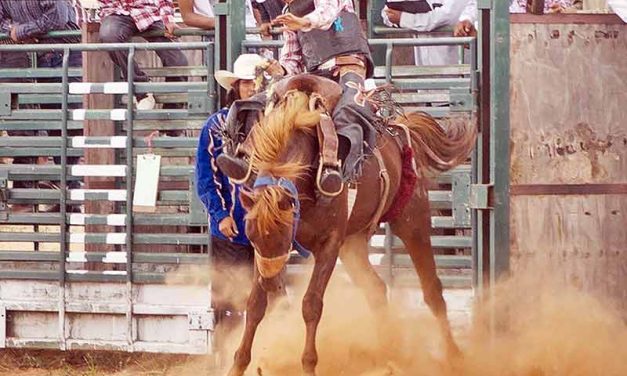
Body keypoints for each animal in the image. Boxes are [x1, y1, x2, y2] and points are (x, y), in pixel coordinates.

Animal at [227, 89, 476, 374]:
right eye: (252, 237)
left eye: (283, 237)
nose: (269, 283)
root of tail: (400, 133)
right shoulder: (269, 257)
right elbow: (255, 306)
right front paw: (237, 364)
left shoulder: (330, 245)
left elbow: (311, 305)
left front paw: (309, 365)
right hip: (353, 245)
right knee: (376, 289)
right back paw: (388, 355)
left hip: (412, 222)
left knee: (432, 290)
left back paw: (454, 356)